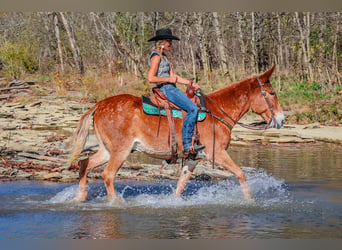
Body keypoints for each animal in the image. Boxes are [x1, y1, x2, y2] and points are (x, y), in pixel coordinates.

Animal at [68, 65, 284, 202]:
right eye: (272, 93)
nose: (282, 119)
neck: (217, 112)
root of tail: (99, 105)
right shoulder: (218, 153)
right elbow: (241, 174)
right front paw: (250, 201)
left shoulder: (193, 158)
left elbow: (181, 185)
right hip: (121, 151)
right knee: (108, 175)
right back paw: (115, 203)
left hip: (106, 150)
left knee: (84, 164)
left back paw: (80, 198)